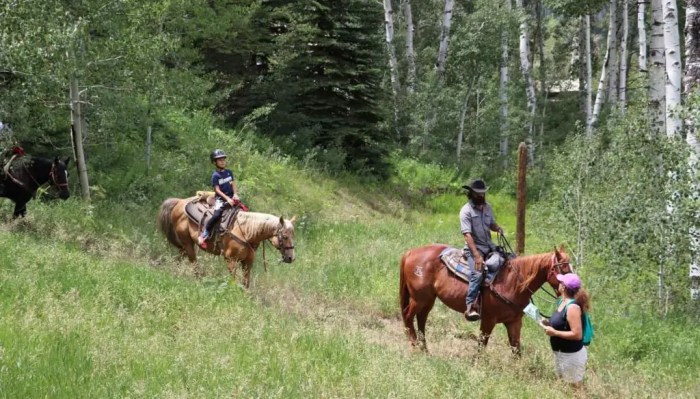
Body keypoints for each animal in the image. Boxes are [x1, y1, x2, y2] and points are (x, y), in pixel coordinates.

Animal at [157, 198, 296, 288]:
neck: (246, 232)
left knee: (180, 256)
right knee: (193, 262)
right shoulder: (231, 260)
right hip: (187, 243)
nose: (291, 258)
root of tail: (179, 202)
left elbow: (246, 283)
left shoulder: (248, 262)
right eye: (284, 236)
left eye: (293, 236)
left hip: (185, 245)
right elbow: (234, 281)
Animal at [402, 244, 572, 354]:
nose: (573, 289)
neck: (513, 282)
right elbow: (481, 345)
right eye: (564, 270)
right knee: (408, 316)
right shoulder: (488, 320)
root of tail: (411, 252)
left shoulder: (514, 322)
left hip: (428, 299)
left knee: (421, 319)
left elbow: (516, 349)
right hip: (419, 298)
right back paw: (415, 346)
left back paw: (424, 350)